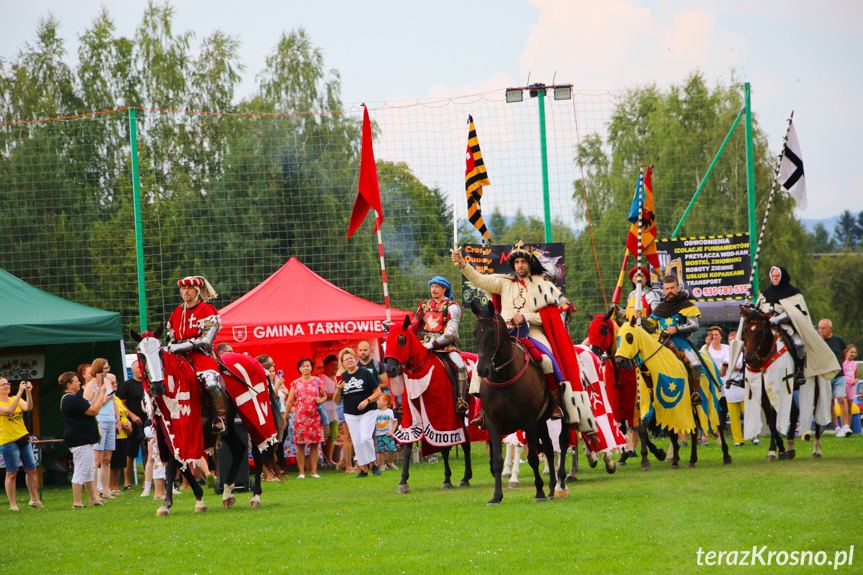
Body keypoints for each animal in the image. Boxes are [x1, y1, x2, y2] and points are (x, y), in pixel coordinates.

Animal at [132, 328, 280, 516]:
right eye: (141, 355)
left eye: (159, 352)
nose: (157, 386)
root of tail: (255, 361)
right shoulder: (170, 434)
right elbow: (178, 464)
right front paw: (194, 500)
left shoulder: (187, 429)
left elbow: (175, 464)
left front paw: (168, 503)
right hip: (228, 424)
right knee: (239, 448)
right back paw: (227, 493)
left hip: (255, 415)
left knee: (259, 448)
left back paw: (255, 497)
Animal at [384, 316, 472, 496]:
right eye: (387, 340)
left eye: (401, 340)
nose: (391, 369)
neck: (420, 372)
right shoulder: (410, 416)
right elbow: (408, 446)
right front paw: (403, 482)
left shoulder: (441, 414)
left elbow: (444, 447)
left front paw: (447, 479)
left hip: (462, 411)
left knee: (468, 442)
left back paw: (467, 477)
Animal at [466, 300, 572, 506]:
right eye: (475, 332)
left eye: (492, 332)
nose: (482, 370)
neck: (503, 376)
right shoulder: (493, 424)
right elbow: (497, 461)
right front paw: (496, 496)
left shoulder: (528, 422)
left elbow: (532, 458)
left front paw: (539, 491)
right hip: (541, 420)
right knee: (548, 448)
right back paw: (552, 488)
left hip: (559, 415)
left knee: (562, 443)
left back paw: (560, 485)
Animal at [612, 320, 732, 472]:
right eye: (618, 337)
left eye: (629, 337)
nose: (620, 361)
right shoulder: (652, 407)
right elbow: (643, 429)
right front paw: (647, 459)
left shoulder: (675, 407)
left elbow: (673, 435)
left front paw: (673, 460)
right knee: (694, 429)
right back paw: (692, 460)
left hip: (713, 401)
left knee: (719, 423)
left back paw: (726, 456)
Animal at [740, 308, 828, 462]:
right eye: (745, 330)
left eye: (761, 332)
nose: (748, 358)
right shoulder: (763, 393)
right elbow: (771, 423)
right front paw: (778, 450)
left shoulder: (777, 388)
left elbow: (774, 420)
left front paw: (773, 451)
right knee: (794, 413)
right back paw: (790, 447)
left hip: (815, 388)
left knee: (817, 416)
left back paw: (816, 450)